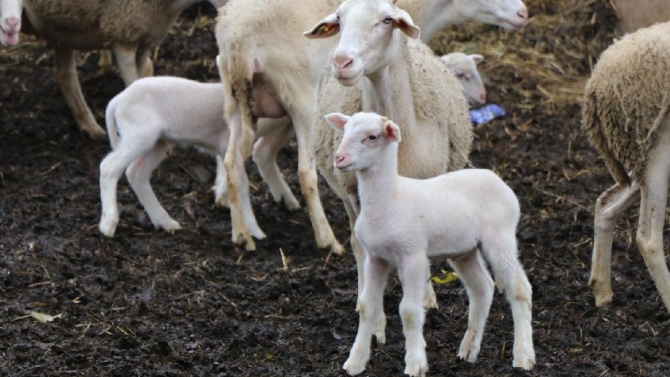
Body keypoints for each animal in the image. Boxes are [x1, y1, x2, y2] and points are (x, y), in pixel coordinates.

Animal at [20, 0, 228, 140]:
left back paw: (90, 126)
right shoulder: (123, 34)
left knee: (65, 76)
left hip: (61, 30)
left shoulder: (144, 38)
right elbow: (133, 85)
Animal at [100, 75, 300, 236]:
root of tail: (116, 101)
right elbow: (241, 185)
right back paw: (108, 224)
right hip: (139, 134)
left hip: (158, 141)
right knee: (108, 168)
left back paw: (165, 222)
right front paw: (255, 231)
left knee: (136, 174)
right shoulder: (231, 146)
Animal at [215, 0, 532, 253]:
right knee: (304, 172)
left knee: (238, 157)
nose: (523, 12)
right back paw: (326, 239)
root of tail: (235, 36)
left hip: (240, 99)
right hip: (298, 93)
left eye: (387, 20)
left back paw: (246, 230)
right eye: (339, 19)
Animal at [328, 110, 540, 374]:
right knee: (483, 288)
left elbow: (409, 310)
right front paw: (355, 362)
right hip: (465, 250)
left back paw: (523, 357)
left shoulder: (414, 255)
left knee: (520, 290)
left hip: (500, 237)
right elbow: (368, 306)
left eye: (372, 137)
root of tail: (497, 179)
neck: (390, 199)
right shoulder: (375, 257)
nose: (339, 158)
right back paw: (468, 351)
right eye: (344, 132)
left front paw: (415, 364)